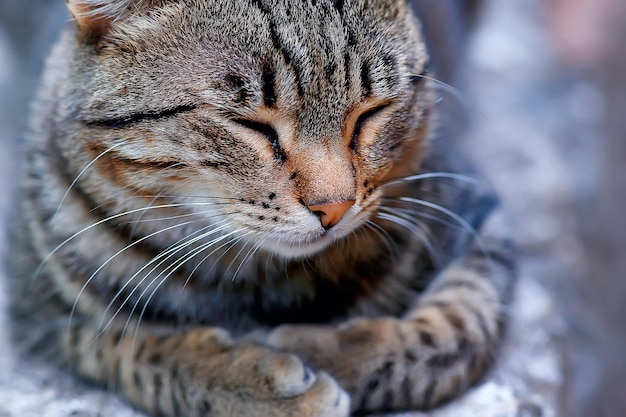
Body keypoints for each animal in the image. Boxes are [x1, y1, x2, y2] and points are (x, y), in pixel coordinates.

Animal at [7, 0, 516, 416]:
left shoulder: (479, 221)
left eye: (371, 112)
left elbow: (452, 333)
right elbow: (135, 349)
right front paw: (247, 383)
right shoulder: (43, 307)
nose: (334, 207)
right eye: (250, 124)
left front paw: (329, 353)